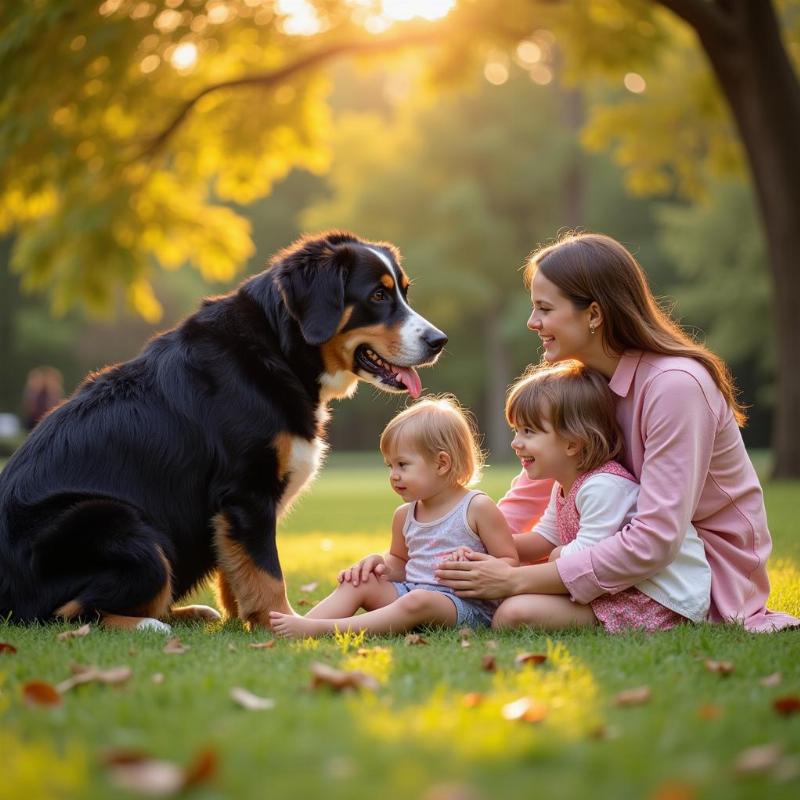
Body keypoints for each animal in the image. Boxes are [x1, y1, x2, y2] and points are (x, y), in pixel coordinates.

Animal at [0, 231, 450, 632]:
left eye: (403, 292)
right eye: (377, 296)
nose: (439, 340)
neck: (277, 351)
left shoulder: (237, 510)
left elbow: (239, 572)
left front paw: (246, 621)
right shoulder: (247, 492)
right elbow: (268, 574)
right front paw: (281, 626)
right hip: (126, 529)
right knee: (64, 613)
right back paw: (149, 624)